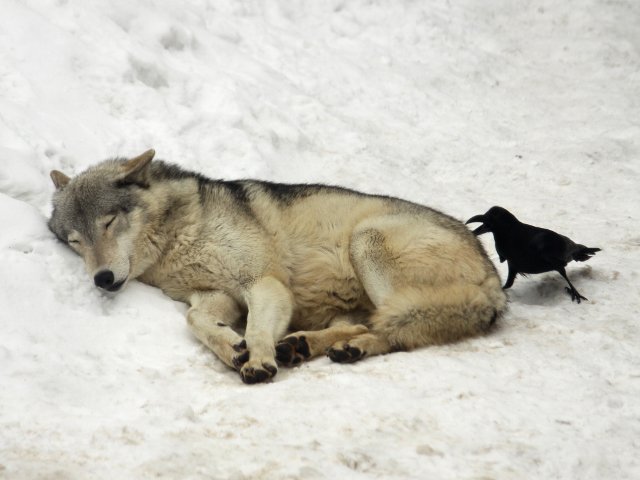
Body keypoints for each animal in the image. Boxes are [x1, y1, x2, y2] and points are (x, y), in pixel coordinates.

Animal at [47, 149, 508, 382]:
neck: (178, 238)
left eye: (109, 222)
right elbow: (195, 321)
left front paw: (256, 359)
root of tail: (493, 283)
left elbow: (255, 327)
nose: (102, 279)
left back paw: (334, 347)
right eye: (75, 242)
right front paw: (232, 348)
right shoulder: (215, 296)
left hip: (366, 243)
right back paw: (306, 346)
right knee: (370, 325)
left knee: (393, 330)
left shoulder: (263, 283)